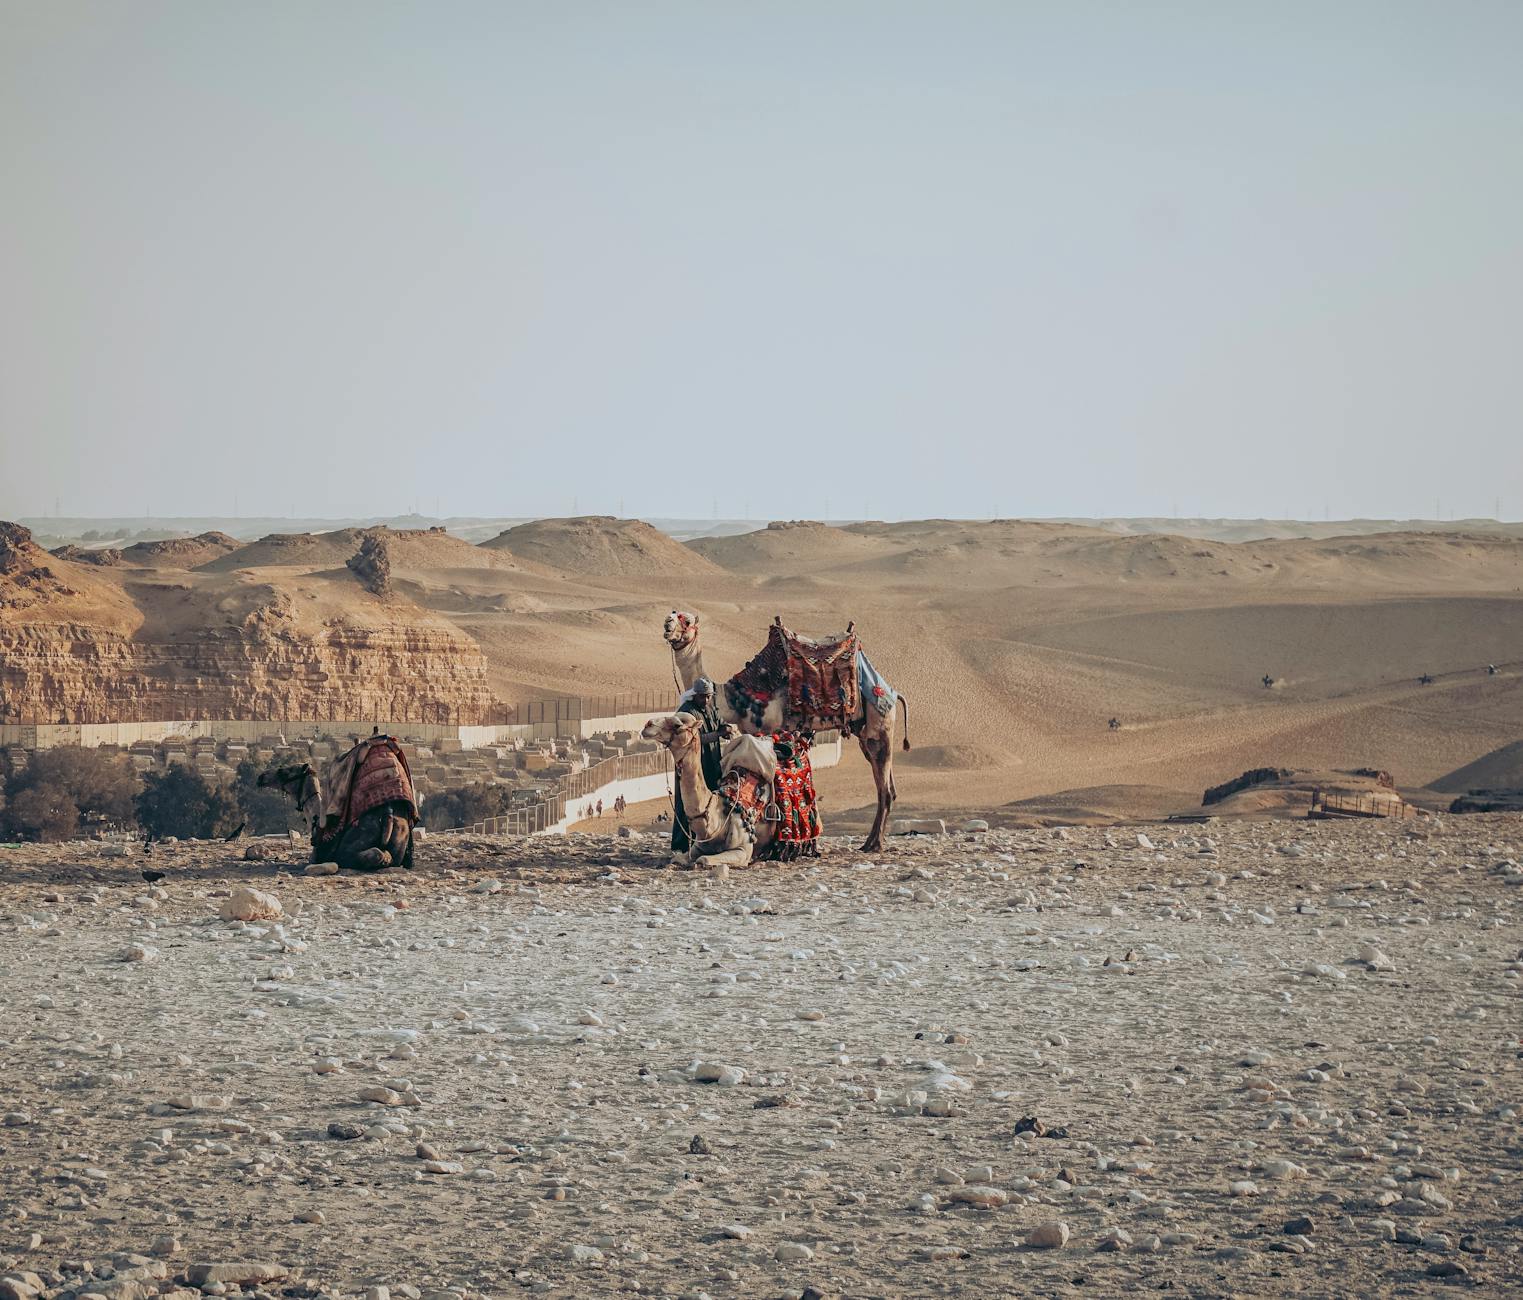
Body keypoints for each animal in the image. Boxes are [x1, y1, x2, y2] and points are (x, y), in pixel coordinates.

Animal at [641, 713, 773, 868]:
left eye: (677, 725)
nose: (647, 724)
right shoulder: (698, 846)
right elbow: (679, 858)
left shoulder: (742, 851)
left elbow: (703, 859)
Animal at [662, 609, 909, 851]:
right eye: (672, 613)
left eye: (686, 620)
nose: (667, 624)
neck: (734, 699)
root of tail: (892, 692)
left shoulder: (768, 728)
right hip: (866, 735)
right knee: (888, 786)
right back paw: (871, 842)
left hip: (880, 724)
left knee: (885, 789)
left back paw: (874, 844)